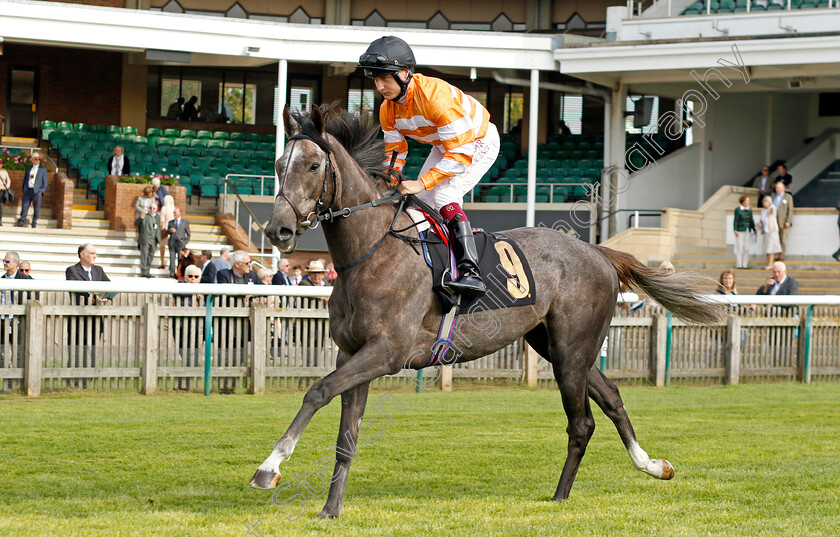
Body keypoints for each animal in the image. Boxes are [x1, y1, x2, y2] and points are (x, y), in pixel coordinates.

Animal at [256, 102, 720, 516]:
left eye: (313, 165)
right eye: (278, 165)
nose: (278, 230)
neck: (370, 252)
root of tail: (599, 251)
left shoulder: (386, 352)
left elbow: (317, 391)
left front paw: (270, 467)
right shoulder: (352, 352)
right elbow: (346, 434)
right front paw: (330, 510)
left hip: (572, 349)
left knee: (582, 422)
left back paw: (561, 496)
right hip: (558, 346)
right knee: (612, 399)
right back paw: (652, 466)